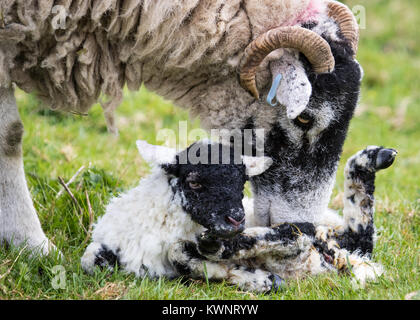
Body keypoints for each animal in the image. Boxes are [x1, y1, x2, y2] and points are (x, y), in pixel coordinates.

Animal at [81, 141, 398, 292]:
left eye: (242, 180)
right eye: (193, 181)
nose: (236, 219)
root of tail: (345, 257)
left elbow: (179, 253)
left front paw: (256, 278)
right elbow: (91, 261)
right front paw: (255, 278)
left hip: (313, 240)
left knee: (298, 233)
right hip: (326, 247)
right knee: (353, 235)